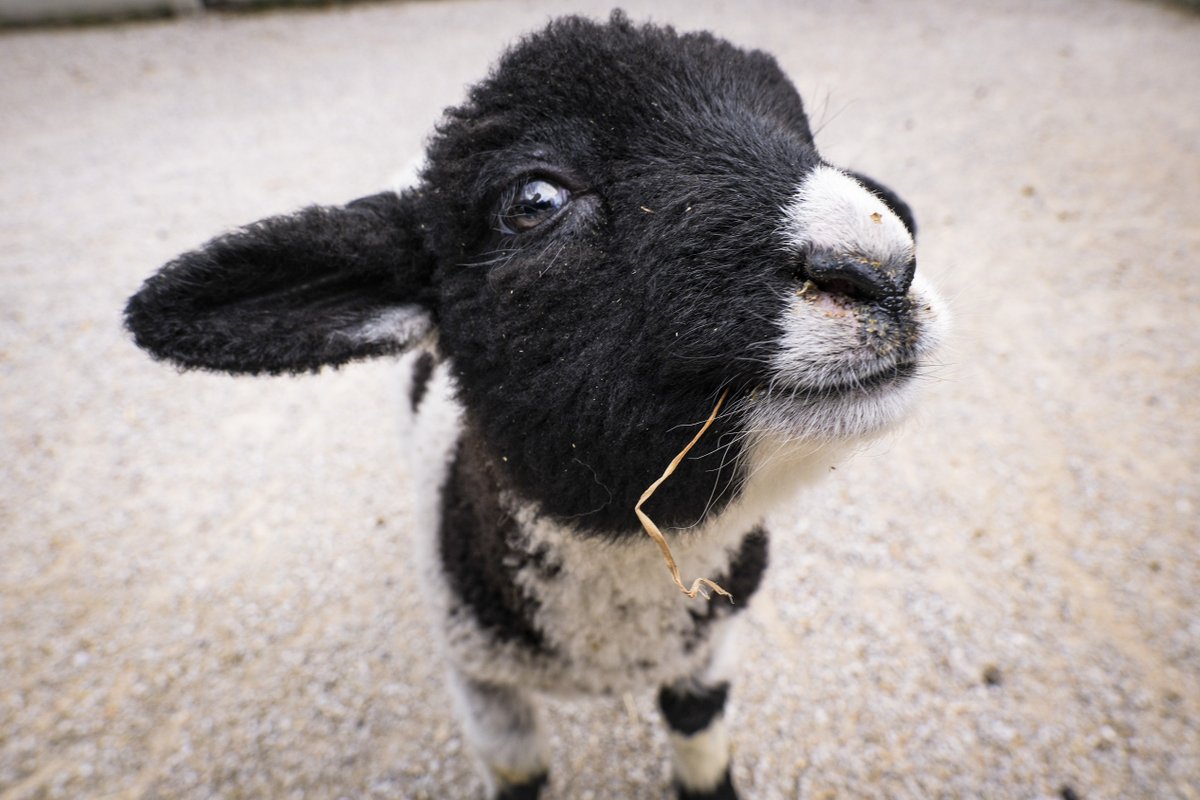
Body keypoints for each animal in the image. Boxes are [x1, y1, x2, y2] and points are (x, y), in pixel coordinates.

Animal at [121, 12, 945, 800]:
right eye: (533, 200)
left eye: (806, 139)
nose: (884, 269)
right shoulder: (481, 684)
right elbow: (521, 772)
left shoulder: (712, 645)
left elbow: (700, 739)